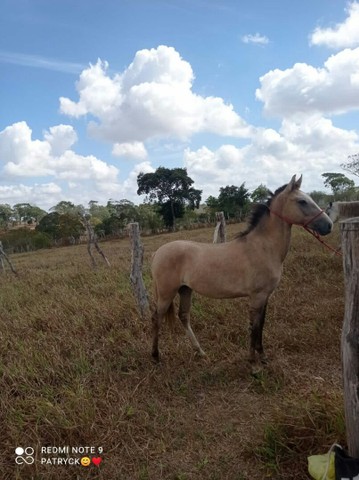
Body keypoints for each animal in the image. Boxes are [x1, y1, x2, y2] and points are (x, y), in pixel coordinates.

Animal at [150, 176, 334, 364]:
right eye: (302, 201)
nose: (328, 225)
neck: (263, 247)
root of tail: (158, 252)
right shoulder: (257, 296)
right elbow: (254, 326)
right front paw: (253, 360)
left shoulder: (265, 296)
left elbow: (261, 325)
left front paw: (263, 357)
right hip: (167, 293)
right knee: (157, 319)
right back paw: (156, 356)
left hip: (185, 290)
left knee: (183, 316)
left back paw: (200, 352)